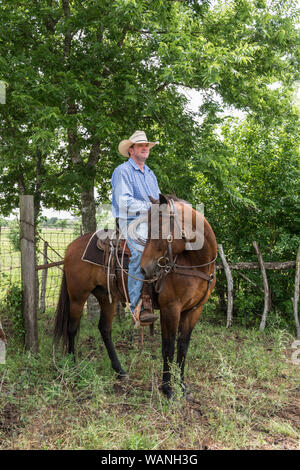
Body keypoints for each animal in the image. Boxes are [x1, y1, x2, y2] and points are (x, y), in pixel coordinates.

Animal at [54, 193, 217, 398]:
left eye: (159, 228)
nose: (144, 268)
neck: (194, 264)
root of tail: (71, 246)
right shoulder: (170, 308)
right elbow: (168, 347)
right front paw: (168, 389)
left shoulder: (194, 309)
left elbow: (183, 347)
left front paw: (182, 386)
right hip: (77, 296)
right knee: (72, 327)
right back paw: (74, 366)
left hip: (106, 297)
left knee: (104, 329)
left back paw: (119, 370)